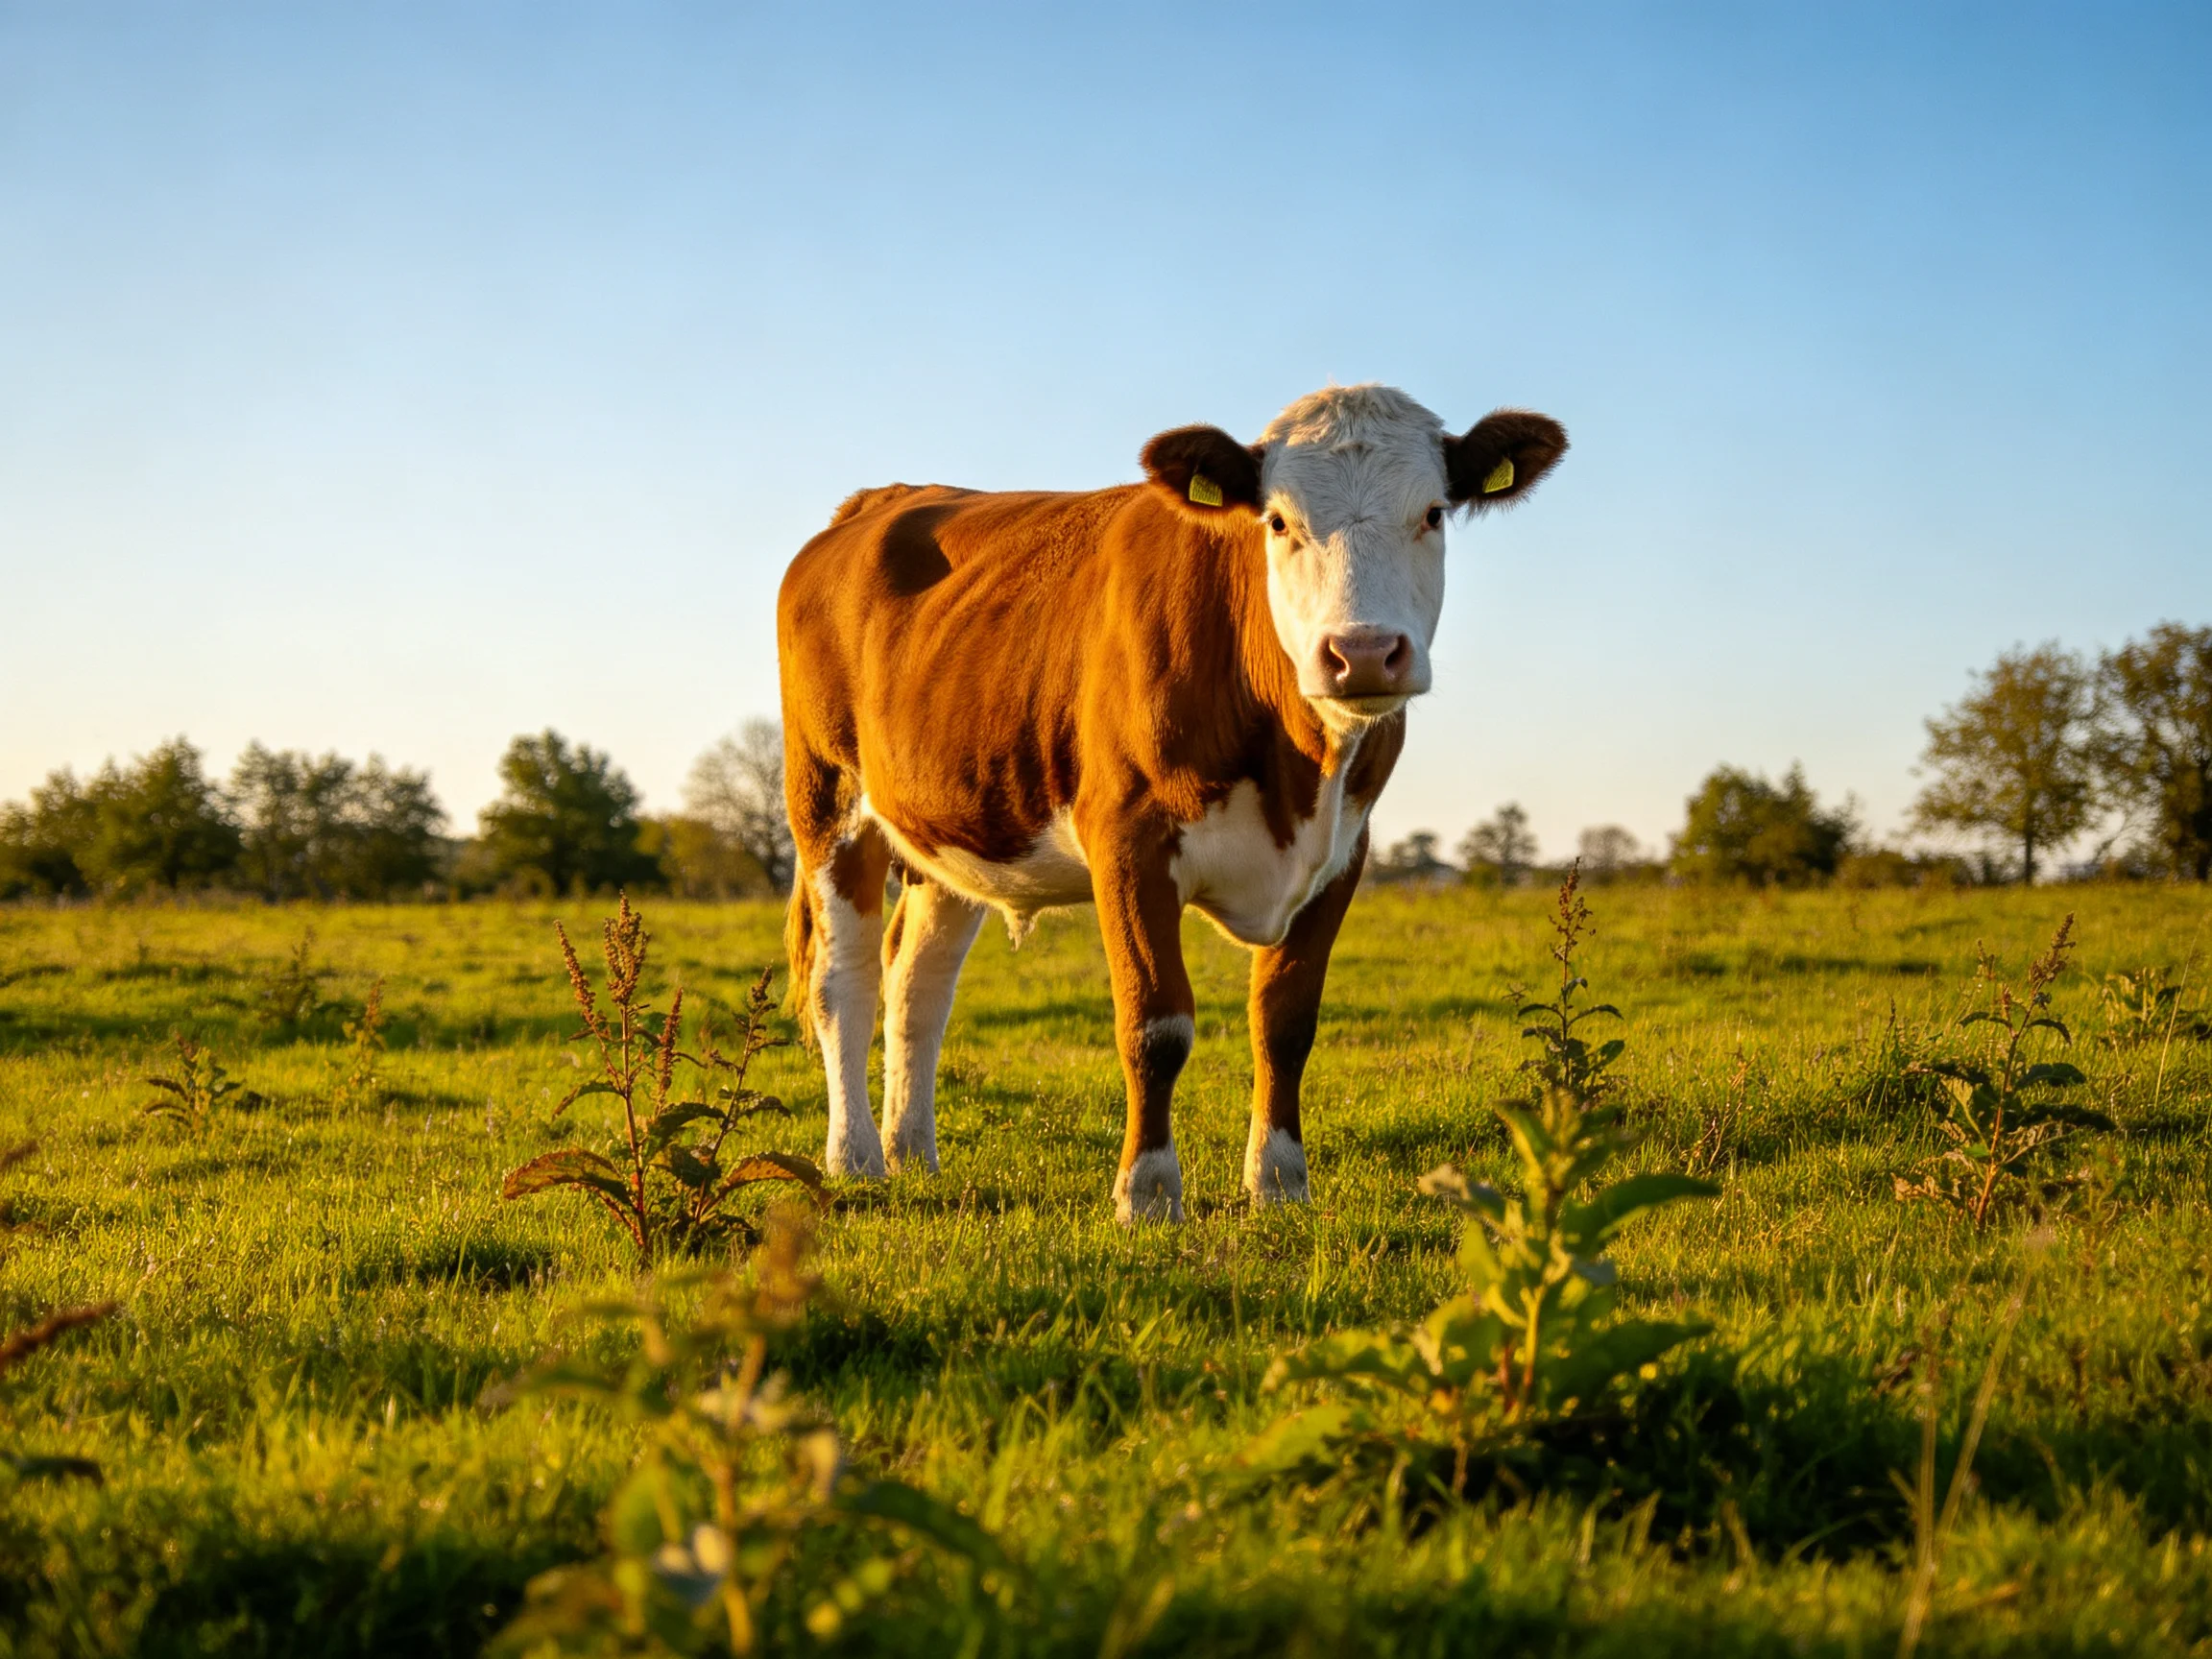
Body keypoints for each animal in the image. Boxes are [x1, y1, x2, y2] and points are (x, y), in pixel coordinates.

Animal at [777, 384, 1567, 1222]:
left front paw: (1279, 1182)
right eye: (1277, 521)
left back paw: (913, 1154)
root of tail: (883, 498)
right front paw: (1149, 1192)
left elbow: (1285, 1022)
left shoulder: (1344, 852)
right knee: (844, 983)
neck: (1295, 766)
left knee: (916, 985)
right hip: (826, 800)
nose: (1361, 653)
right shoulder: (1128, 841)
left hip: (955, 822)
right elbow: (1155, 1025)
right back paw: (856, 1158)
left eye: (1434, 514)